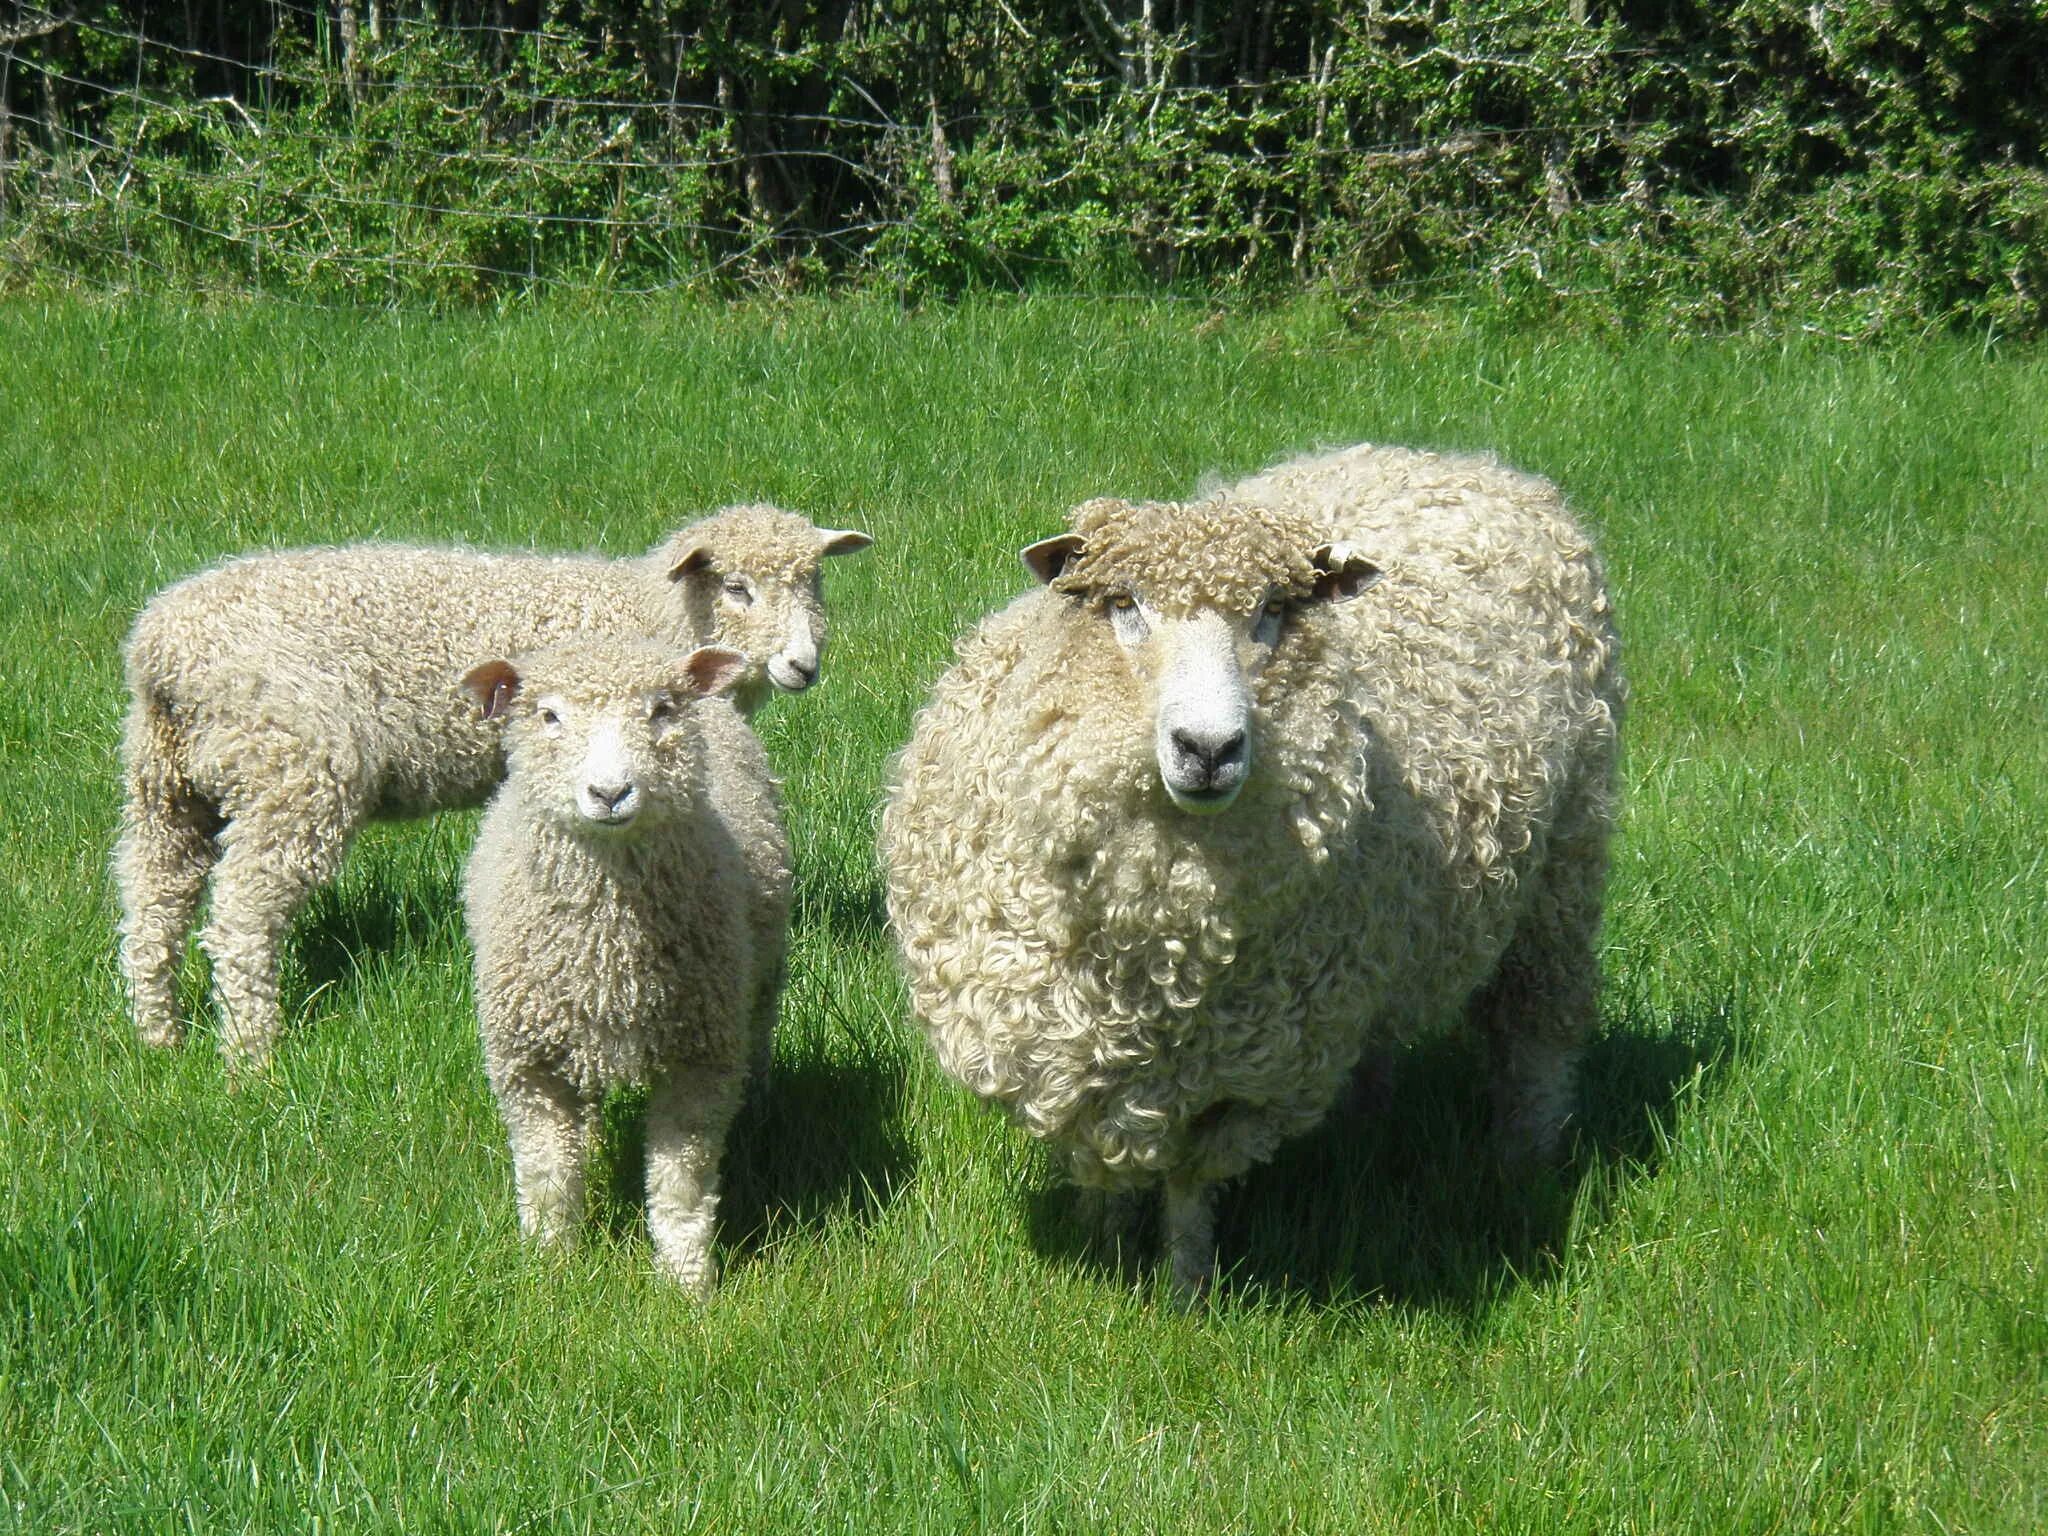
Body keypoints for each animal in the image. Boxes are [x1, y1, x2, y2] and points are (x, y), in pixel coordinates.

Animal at [117, 505, 872, 1073]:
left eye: (813, 583)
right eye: (738, 587)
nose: (803, 664)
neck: (653, 611)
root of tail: (160, 646)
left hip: (165, 783)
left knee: (152, 902)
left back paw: (159, 1036)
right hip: (293, 768)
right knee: (240, 916)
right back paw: (253, 1052)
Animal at [460, 630, 786, 1294]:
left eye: (660, 710)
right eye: (549, 716)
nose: (609, 793)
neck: (608, 955)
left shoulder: (699, 1058)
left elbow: (680, 1184)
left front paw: (687, 1284)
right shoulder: (527, 1065)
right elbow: (549, 1175)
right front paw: (550, 1269)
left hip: (760, 979)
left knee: (760, 1029)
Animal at [888, 442, 1622, 1302]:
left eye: (1272, 610)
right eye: (1124, 605)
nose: (1209, 748)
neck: (1162, 940)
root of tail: (1459, 463)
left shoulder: (1237, 1074)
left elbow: (1188, 1183)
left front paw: (1185, 1292)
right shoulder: (1067, 1047)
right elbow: (1103, 1162)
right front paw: (1103, 1253)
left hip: (1567, 858)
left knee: (1537, 1027)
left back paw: (1524, 1162)